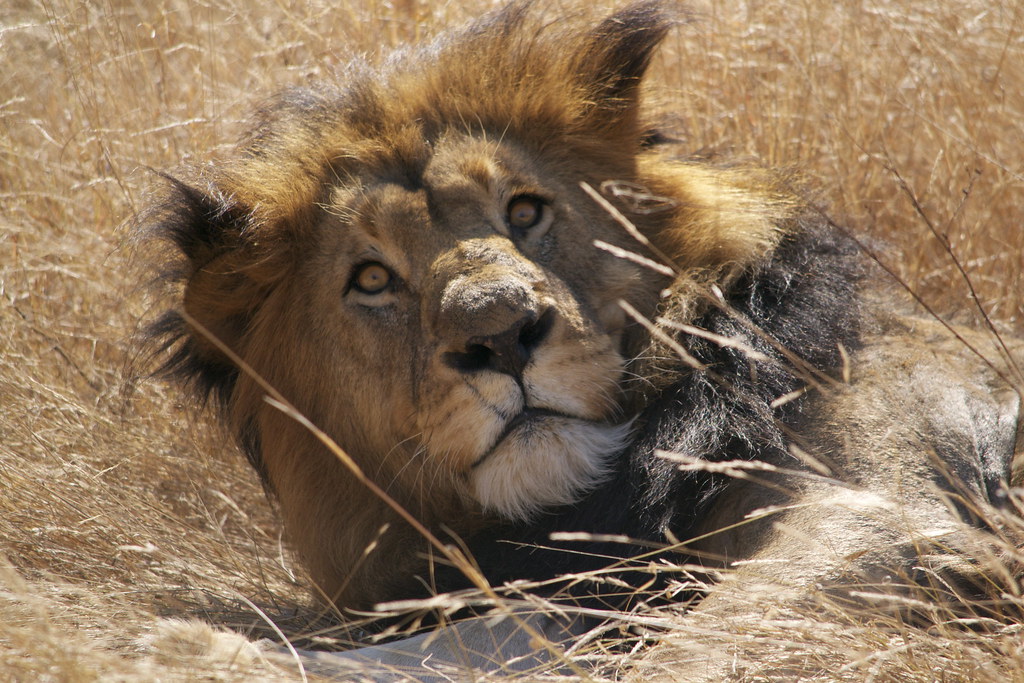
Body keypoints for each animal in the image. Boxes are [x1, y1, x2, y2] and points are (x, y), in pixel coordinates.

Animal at [140, 1, 1023, 678]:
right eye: (372, 278)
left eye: (526, 211)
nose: (500, 334)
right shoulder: (569, 584)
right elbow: (466, 634)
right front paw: (188, 646)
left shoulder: (889, 511)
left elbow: (702, 647)